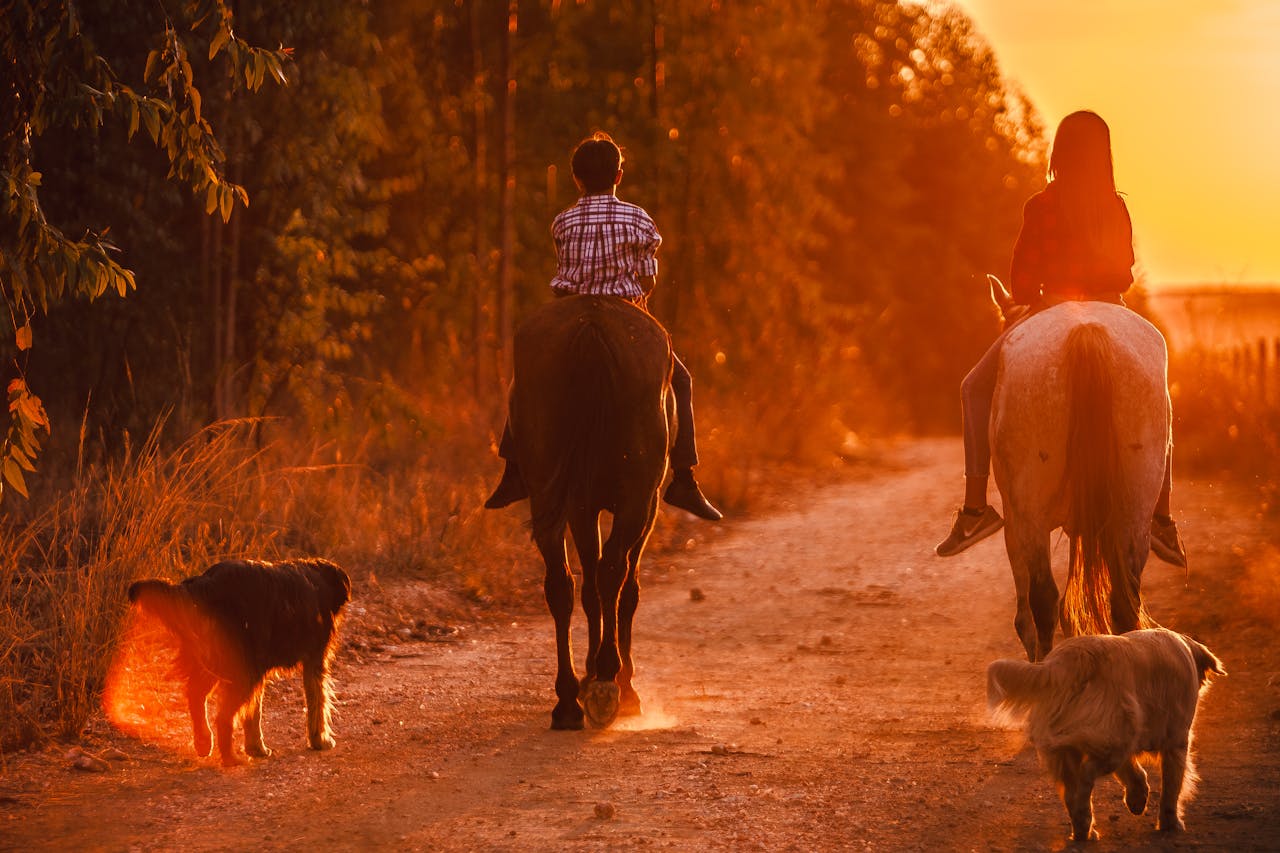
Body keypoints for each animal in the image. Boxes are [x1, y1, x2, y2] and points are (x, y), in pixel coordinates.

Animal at [129, 558, 350, 763]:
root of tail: (207, 583)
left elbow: (254, 712)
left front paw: (256, 748)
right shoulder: (314, 660)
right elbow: (318, 701)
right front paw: (320, 740)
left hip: (215, 661)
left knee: (196, 696)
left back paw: (204, 741)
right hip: (242, 669)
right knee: (222, 717)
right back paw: (230, 758)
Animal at [506, 292, 675, 722]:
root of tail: (592, 330)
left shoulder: (580, 507)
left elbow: (588, 588)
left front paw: (589, 673)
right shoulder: (646, 506)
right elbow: (624, 587)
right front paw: (615, 678)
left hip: (550, 493)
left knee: (561, 583)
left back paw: (568, 700)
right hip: (636, 501)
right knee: (614, 572)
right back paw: (610, 684)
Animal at [988, 275, 1172, 660]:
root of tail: (1085, 330)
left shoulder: (1015, 521)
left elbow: (1028, 610)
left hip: (1030, 514)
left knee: (1043, 600)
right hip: (1135, 509)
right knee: (1124, 598)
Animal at [988, 627, 1218, 840]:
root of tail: (1069, 661)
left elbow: (1133, 771)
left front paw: (1138, 798)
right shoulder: (1177, 741)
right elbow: (1172, 787)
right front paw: (1171, 823)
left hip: (1075, 747)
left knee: (1071, 789)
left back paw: (1083, 830)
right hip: (1114, 740)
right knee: (1086, 777)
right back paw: (1085, 821)